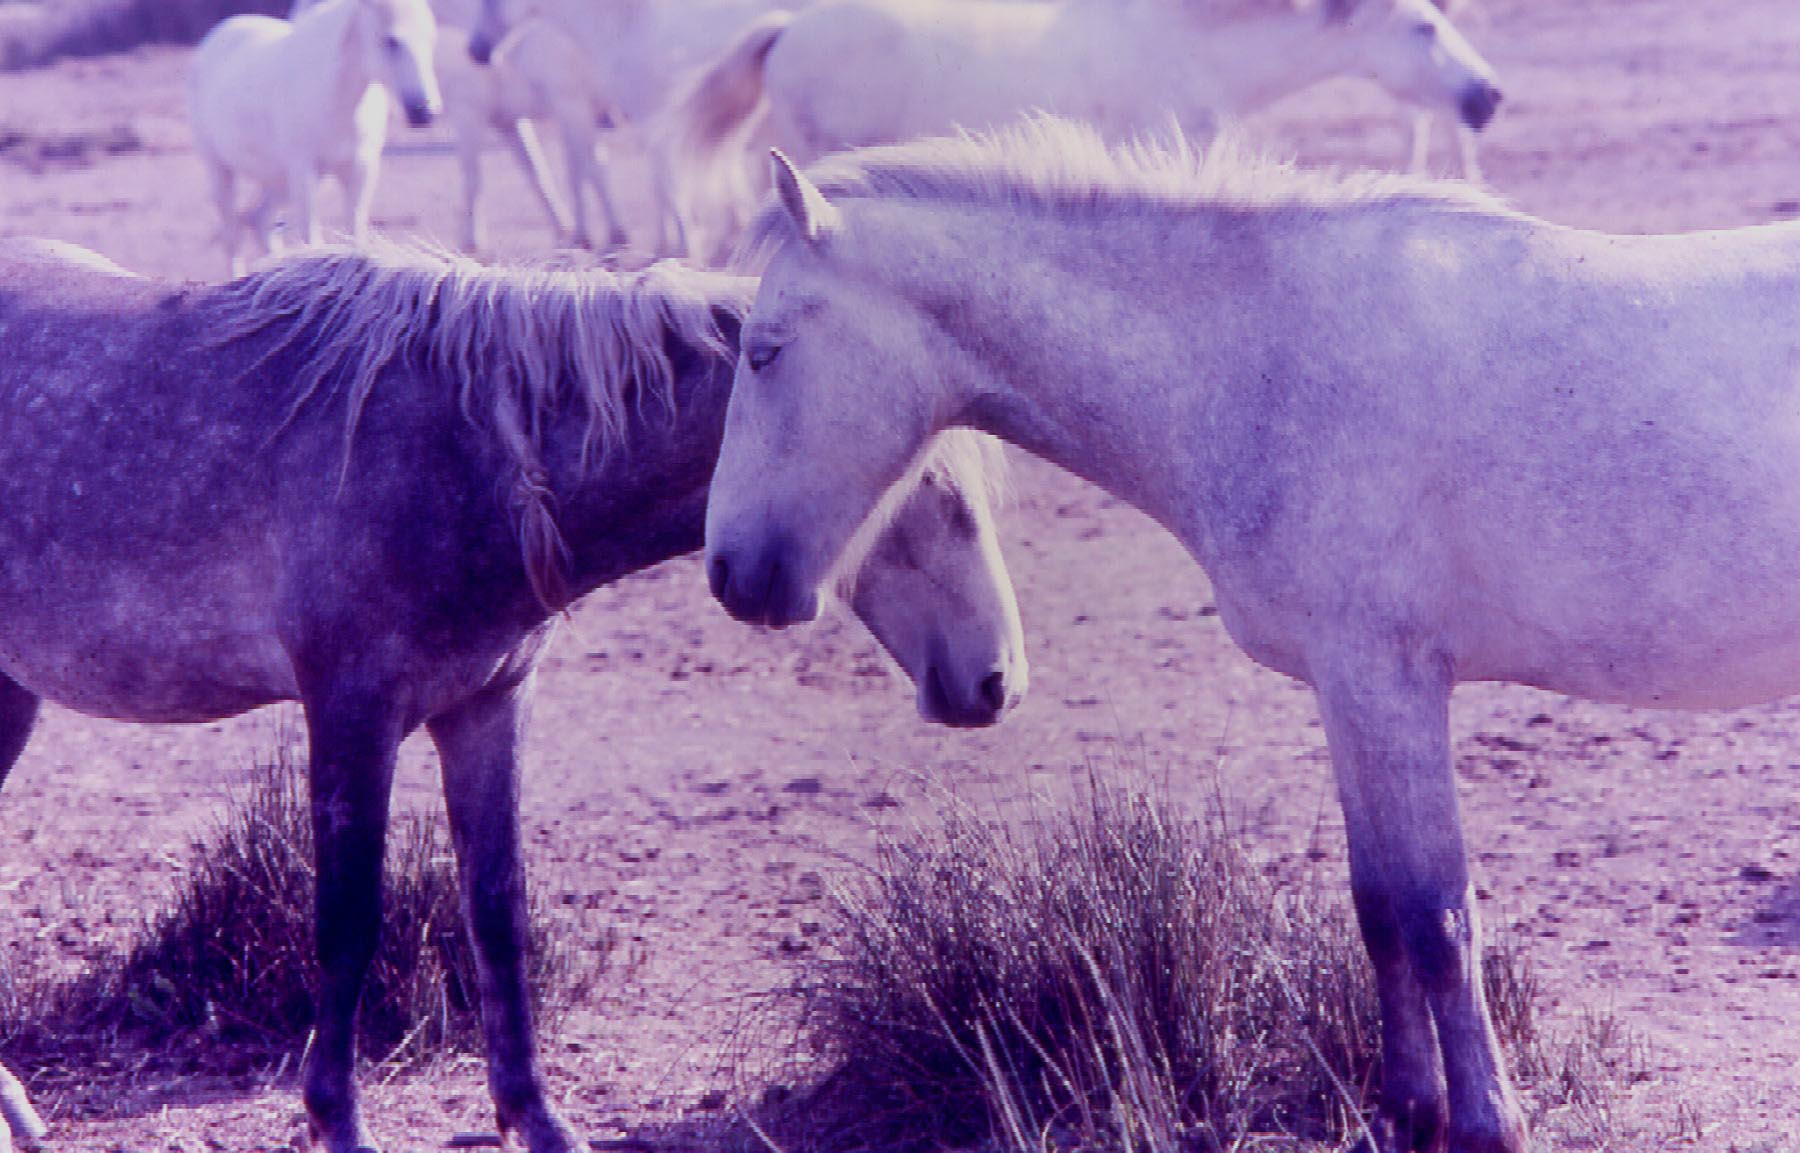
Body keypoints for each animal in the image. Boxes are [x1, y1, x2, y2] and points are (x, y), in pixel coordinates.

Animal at [0, 237, 1022, 1144]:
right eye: (928, 485)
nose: (996, 680)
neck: (474, 449)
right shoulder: (351, 711)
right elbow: (348, 919)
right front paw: (337, 1119)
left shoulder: (487, 707)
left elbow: (498, 911)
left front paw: (536, 1117)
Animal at [189, 0, 442, 277]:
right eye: (391, 40)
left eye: (431, 39)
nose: (426, 112)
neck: (335, 97)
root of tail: (219, 34)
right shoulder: (304, 170)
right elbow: (312, 239)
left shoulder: (361, 169)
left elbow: (356, 236)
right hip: (220, 170)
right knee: (232, 236)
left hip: (279, 179)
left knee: (259, 219)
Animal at [698, 118, 1800, 1151]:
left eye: (764, 351)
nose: (729, 572)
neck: (1265, 362)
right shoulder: (1348, 694)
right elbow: (1380, 909)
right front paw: (1406, 1114)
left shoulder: (1387, 684)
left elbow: (1438, 915)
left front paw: (1487, 1124)